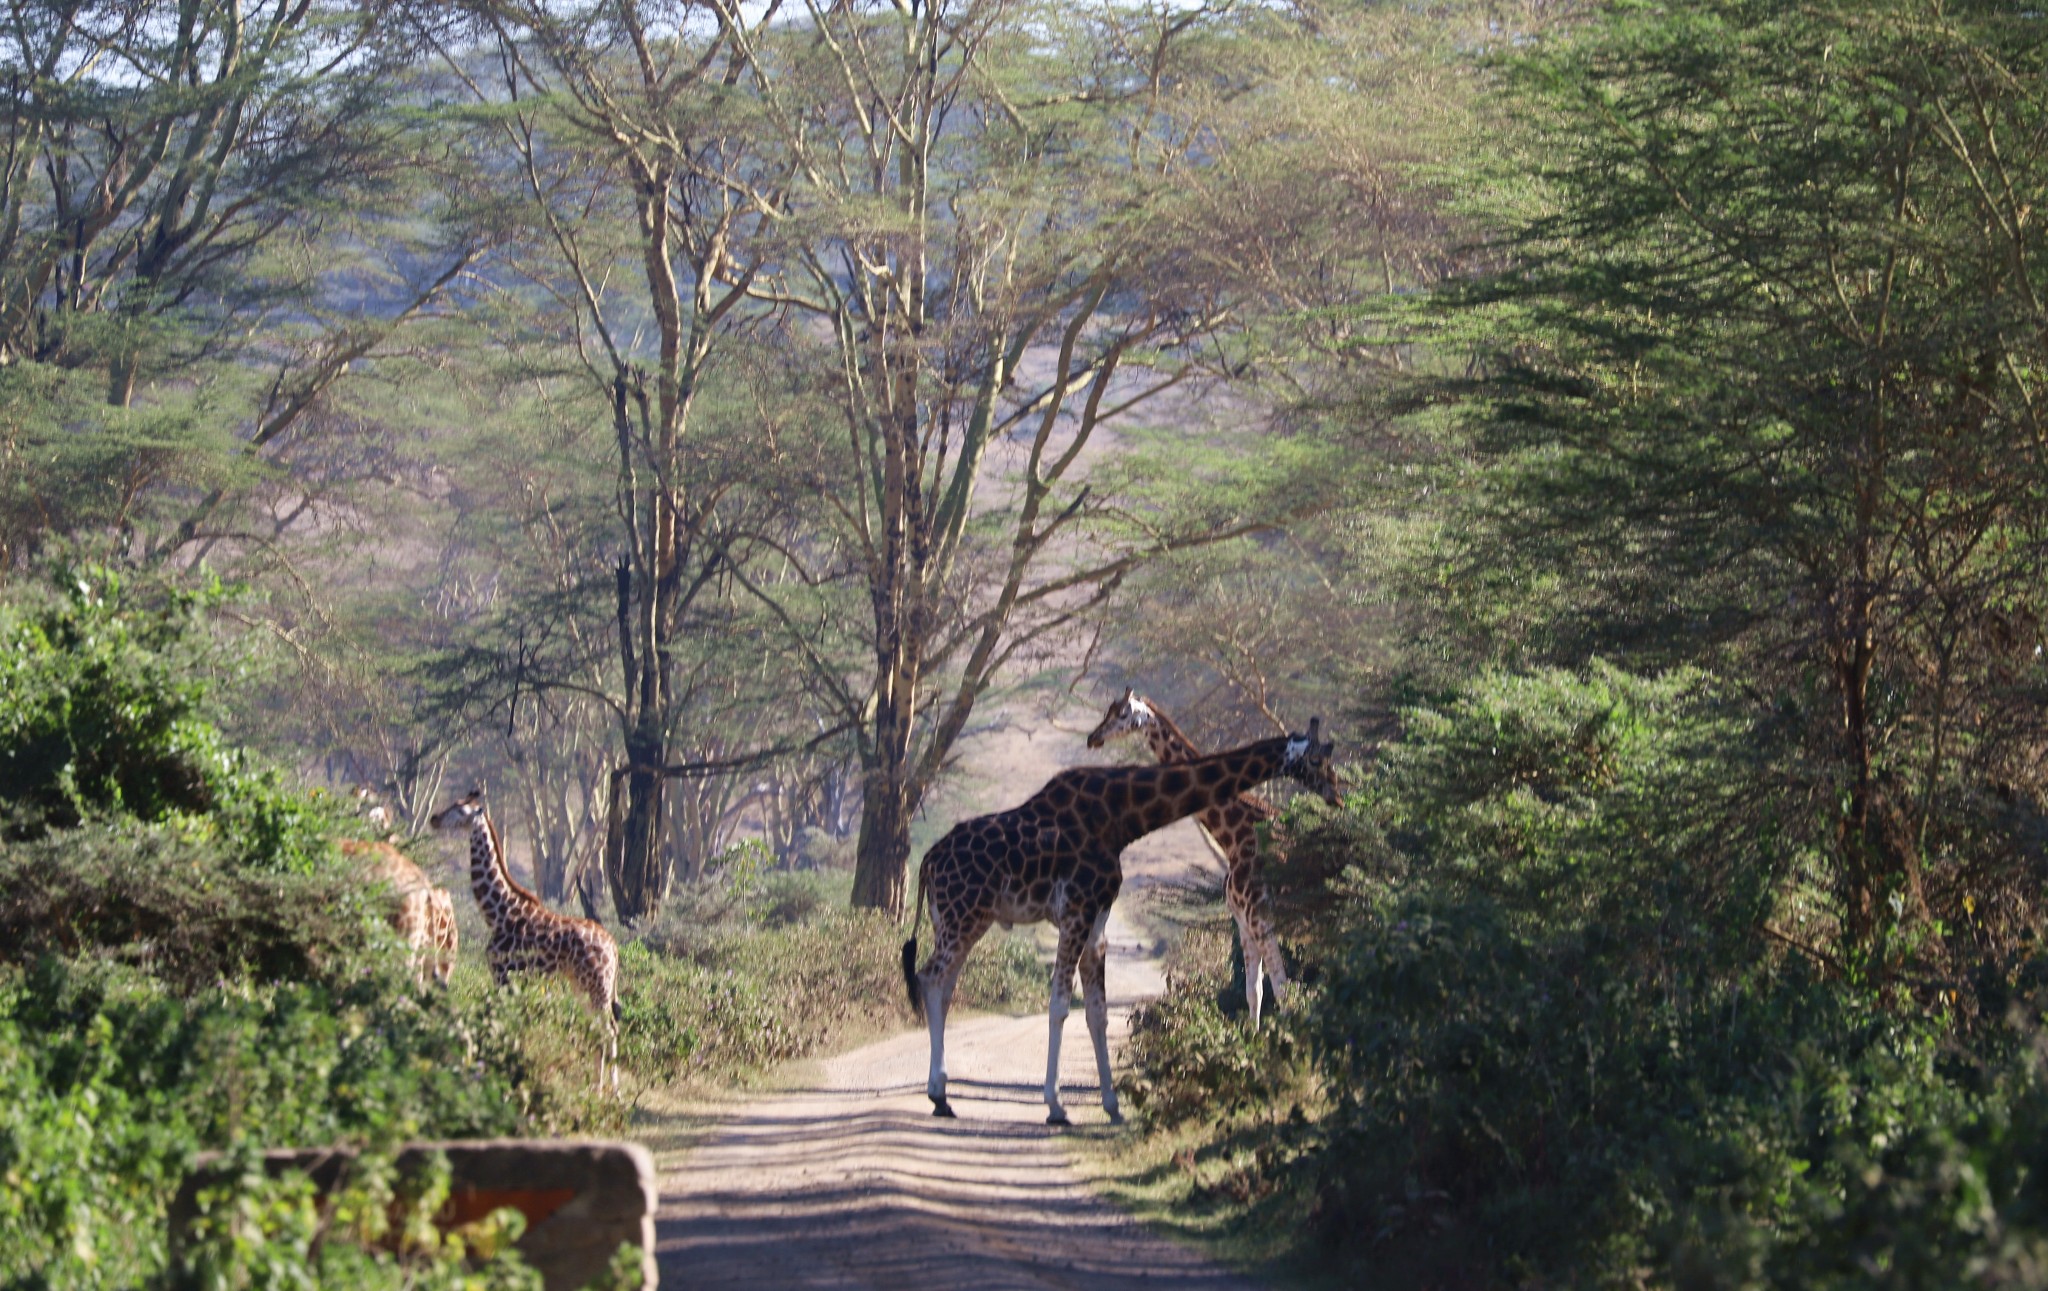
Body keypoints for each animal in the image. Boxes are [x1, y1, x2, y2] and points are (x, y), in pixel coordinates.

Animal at [432, 790, 622, 1090]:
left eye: (460, 810)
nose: (434, 819)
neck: (498, 912)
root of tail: (614, 948)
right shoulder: (516, 979)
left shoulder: (503, 974)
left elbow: (503, 1022)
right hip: (582, 985)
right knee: (600, 1028)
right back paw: (597, 1088)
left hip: (598, 986)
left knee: (610, 1029)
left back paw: (611, 1091)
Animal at [1089, 692, 1294, 1036]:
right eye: (1107, 711)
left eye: (1122, 714)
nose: (1093, 737)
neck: (1238, 834)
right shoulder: (1242, 919)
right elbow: (1254, 991)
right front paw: (1253, 1040)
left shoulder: (1260, 916)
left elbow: (1281, 987)